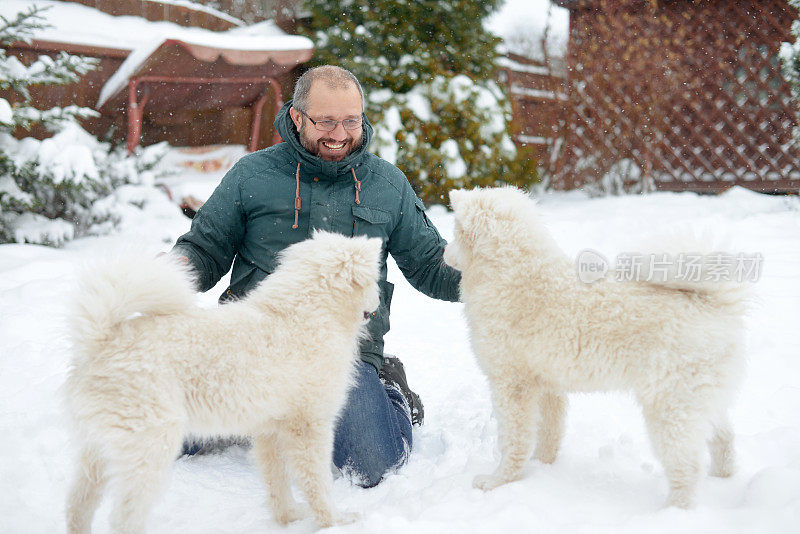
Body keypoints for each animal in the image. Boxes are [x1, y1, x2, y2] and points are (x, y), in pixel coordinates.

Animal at [64, 232, 382, 532]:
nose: (378, 304)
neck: (305, 315)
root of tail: (102, 342)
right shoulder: (309, 426)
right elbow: (317, 482)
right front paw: (335, 521)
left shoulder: (271, 429)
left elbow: (277, 480)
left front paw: (289, 517)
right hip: (150, 446)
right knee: (123, 519)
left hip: (98, 450)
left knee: (77, 506)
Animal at [446, 188, 748, 510]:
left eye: (454, 232)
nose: (442, 252)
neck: (512, 273)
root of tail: (712, 304)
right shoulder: (548, 385)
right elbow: (548, 433)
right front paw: (542, 466)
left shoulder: (511, 385)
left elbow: (514, 440)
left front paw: (498, 481)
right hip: (702, 399)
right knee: (724, 438)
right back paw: (722, 479)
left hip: (671, 405)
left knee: (687, 465)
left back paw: (671, 511)